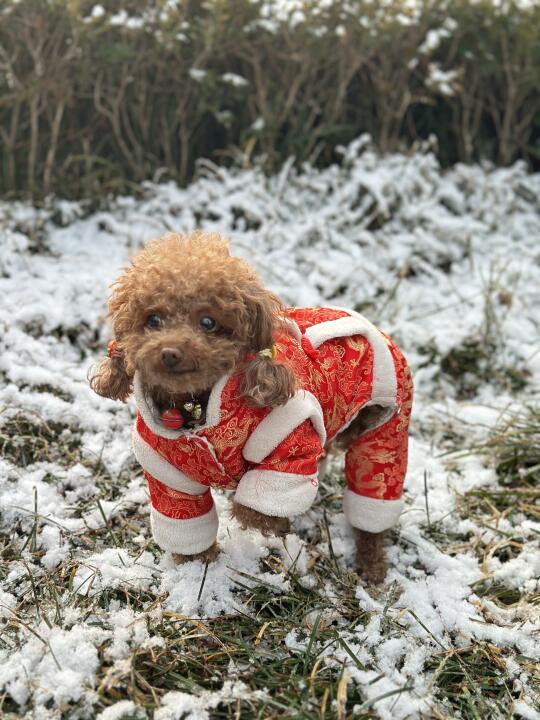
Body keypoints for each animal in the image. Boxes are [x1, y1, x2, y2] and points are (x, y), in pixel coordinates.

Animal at [89, 233, 414, 584]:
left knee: (375, 498)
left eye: (208, 322)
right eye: (152, 319)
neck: (198, 412)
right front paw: (197, 569)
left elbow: (258, 505)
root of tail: (368, 325)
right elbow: (186, 523)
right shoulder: (167, 473)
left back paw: (372, 566)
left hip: (387, 433)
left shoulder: (290, 437)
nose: (170, 352)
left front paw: (264, 522)